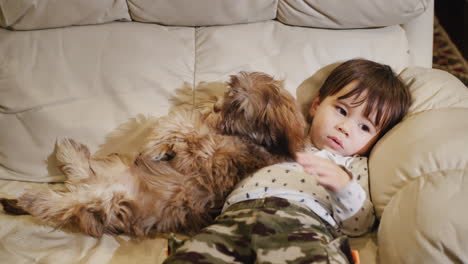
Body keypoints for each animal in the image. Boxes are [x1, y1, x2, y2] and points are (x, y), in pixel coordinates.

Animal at [0, 71, 308, 237]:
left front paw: (156, 143)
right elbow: (183, 125)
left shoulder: (208, 156)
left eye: (239, 107)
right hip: (112, 171)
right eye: (229, 91)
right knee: (80, 173)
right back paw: (68, 151)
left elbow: (184, 125)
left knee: (63, 205)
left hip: (105, 202)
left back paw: (33, 198)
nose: (215, 106)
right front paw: (158, 146)